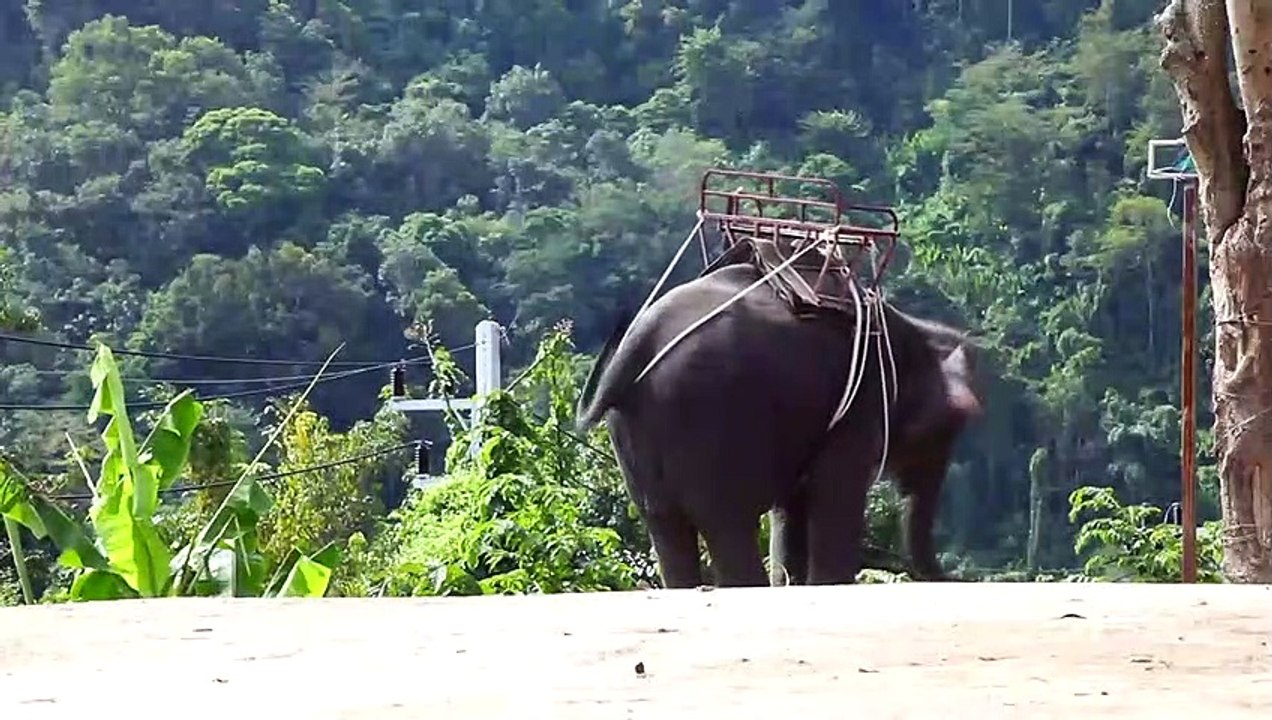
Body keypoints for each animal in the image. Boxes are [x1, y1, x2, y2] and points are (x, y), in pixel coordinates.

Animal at [576, 259, 983, 588]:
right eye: (948, 426)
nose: (959, 576)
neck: (907, 326)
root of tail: (636, 343)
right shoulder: (857, 402)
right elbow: (835, 492)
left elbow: (793, 504)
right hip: (707, 421)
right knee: (727, 523)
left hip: (637, 430)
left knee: (666, 524)